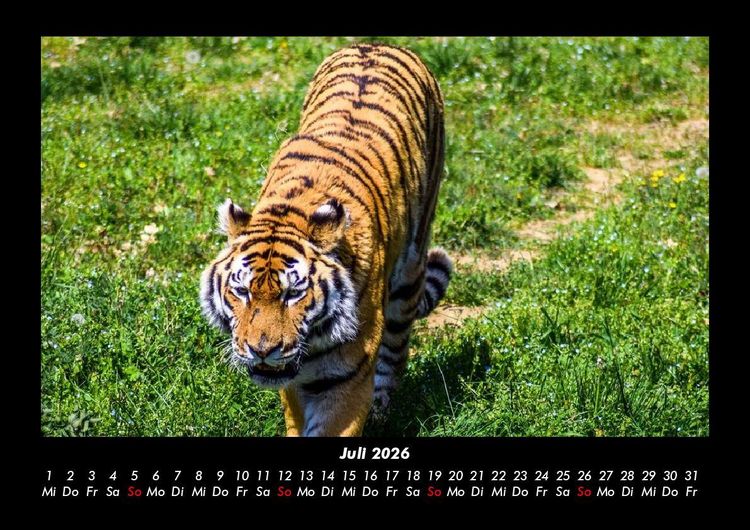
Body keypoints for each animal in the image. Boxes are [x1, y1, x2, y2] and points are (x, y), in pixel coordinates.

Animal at [199, 42, 452, 436]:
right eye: (241, 291)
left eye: (293, 293)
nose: (261, 350)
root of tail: (377, 44)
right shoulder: (293, 381)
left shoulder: (346, 375)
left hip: (409, 272)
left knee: (395, 352)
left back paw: (380, 410)